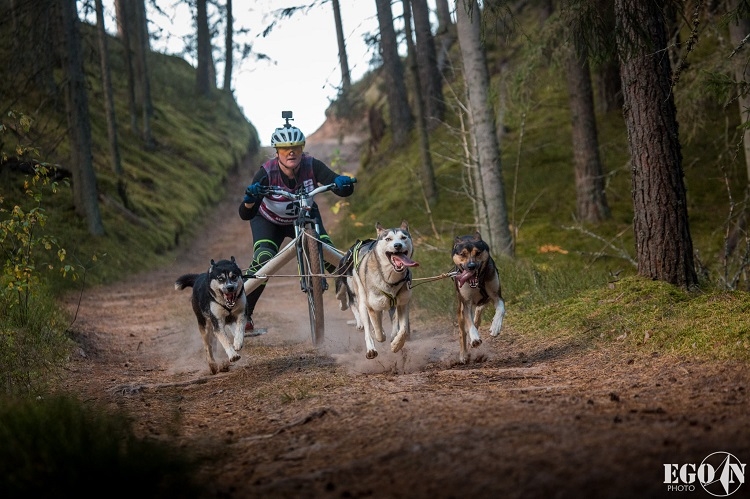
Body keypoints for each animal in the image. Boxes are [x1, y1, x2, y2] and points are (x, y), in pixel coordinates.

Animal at [452, 234, 506, 364]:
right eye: (462, 254)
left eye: (478, 253)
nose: (471, 266)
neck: (477, 283)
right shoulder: (466, 303)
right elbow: (469, 323)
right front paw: (475, 338)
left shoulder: (496, 296)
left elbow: (501, 309)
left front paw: (495, 327)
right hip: (460, 310)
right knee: (462, 332)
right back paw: (464, 354)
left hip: (484, 301)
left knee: (478, 314)